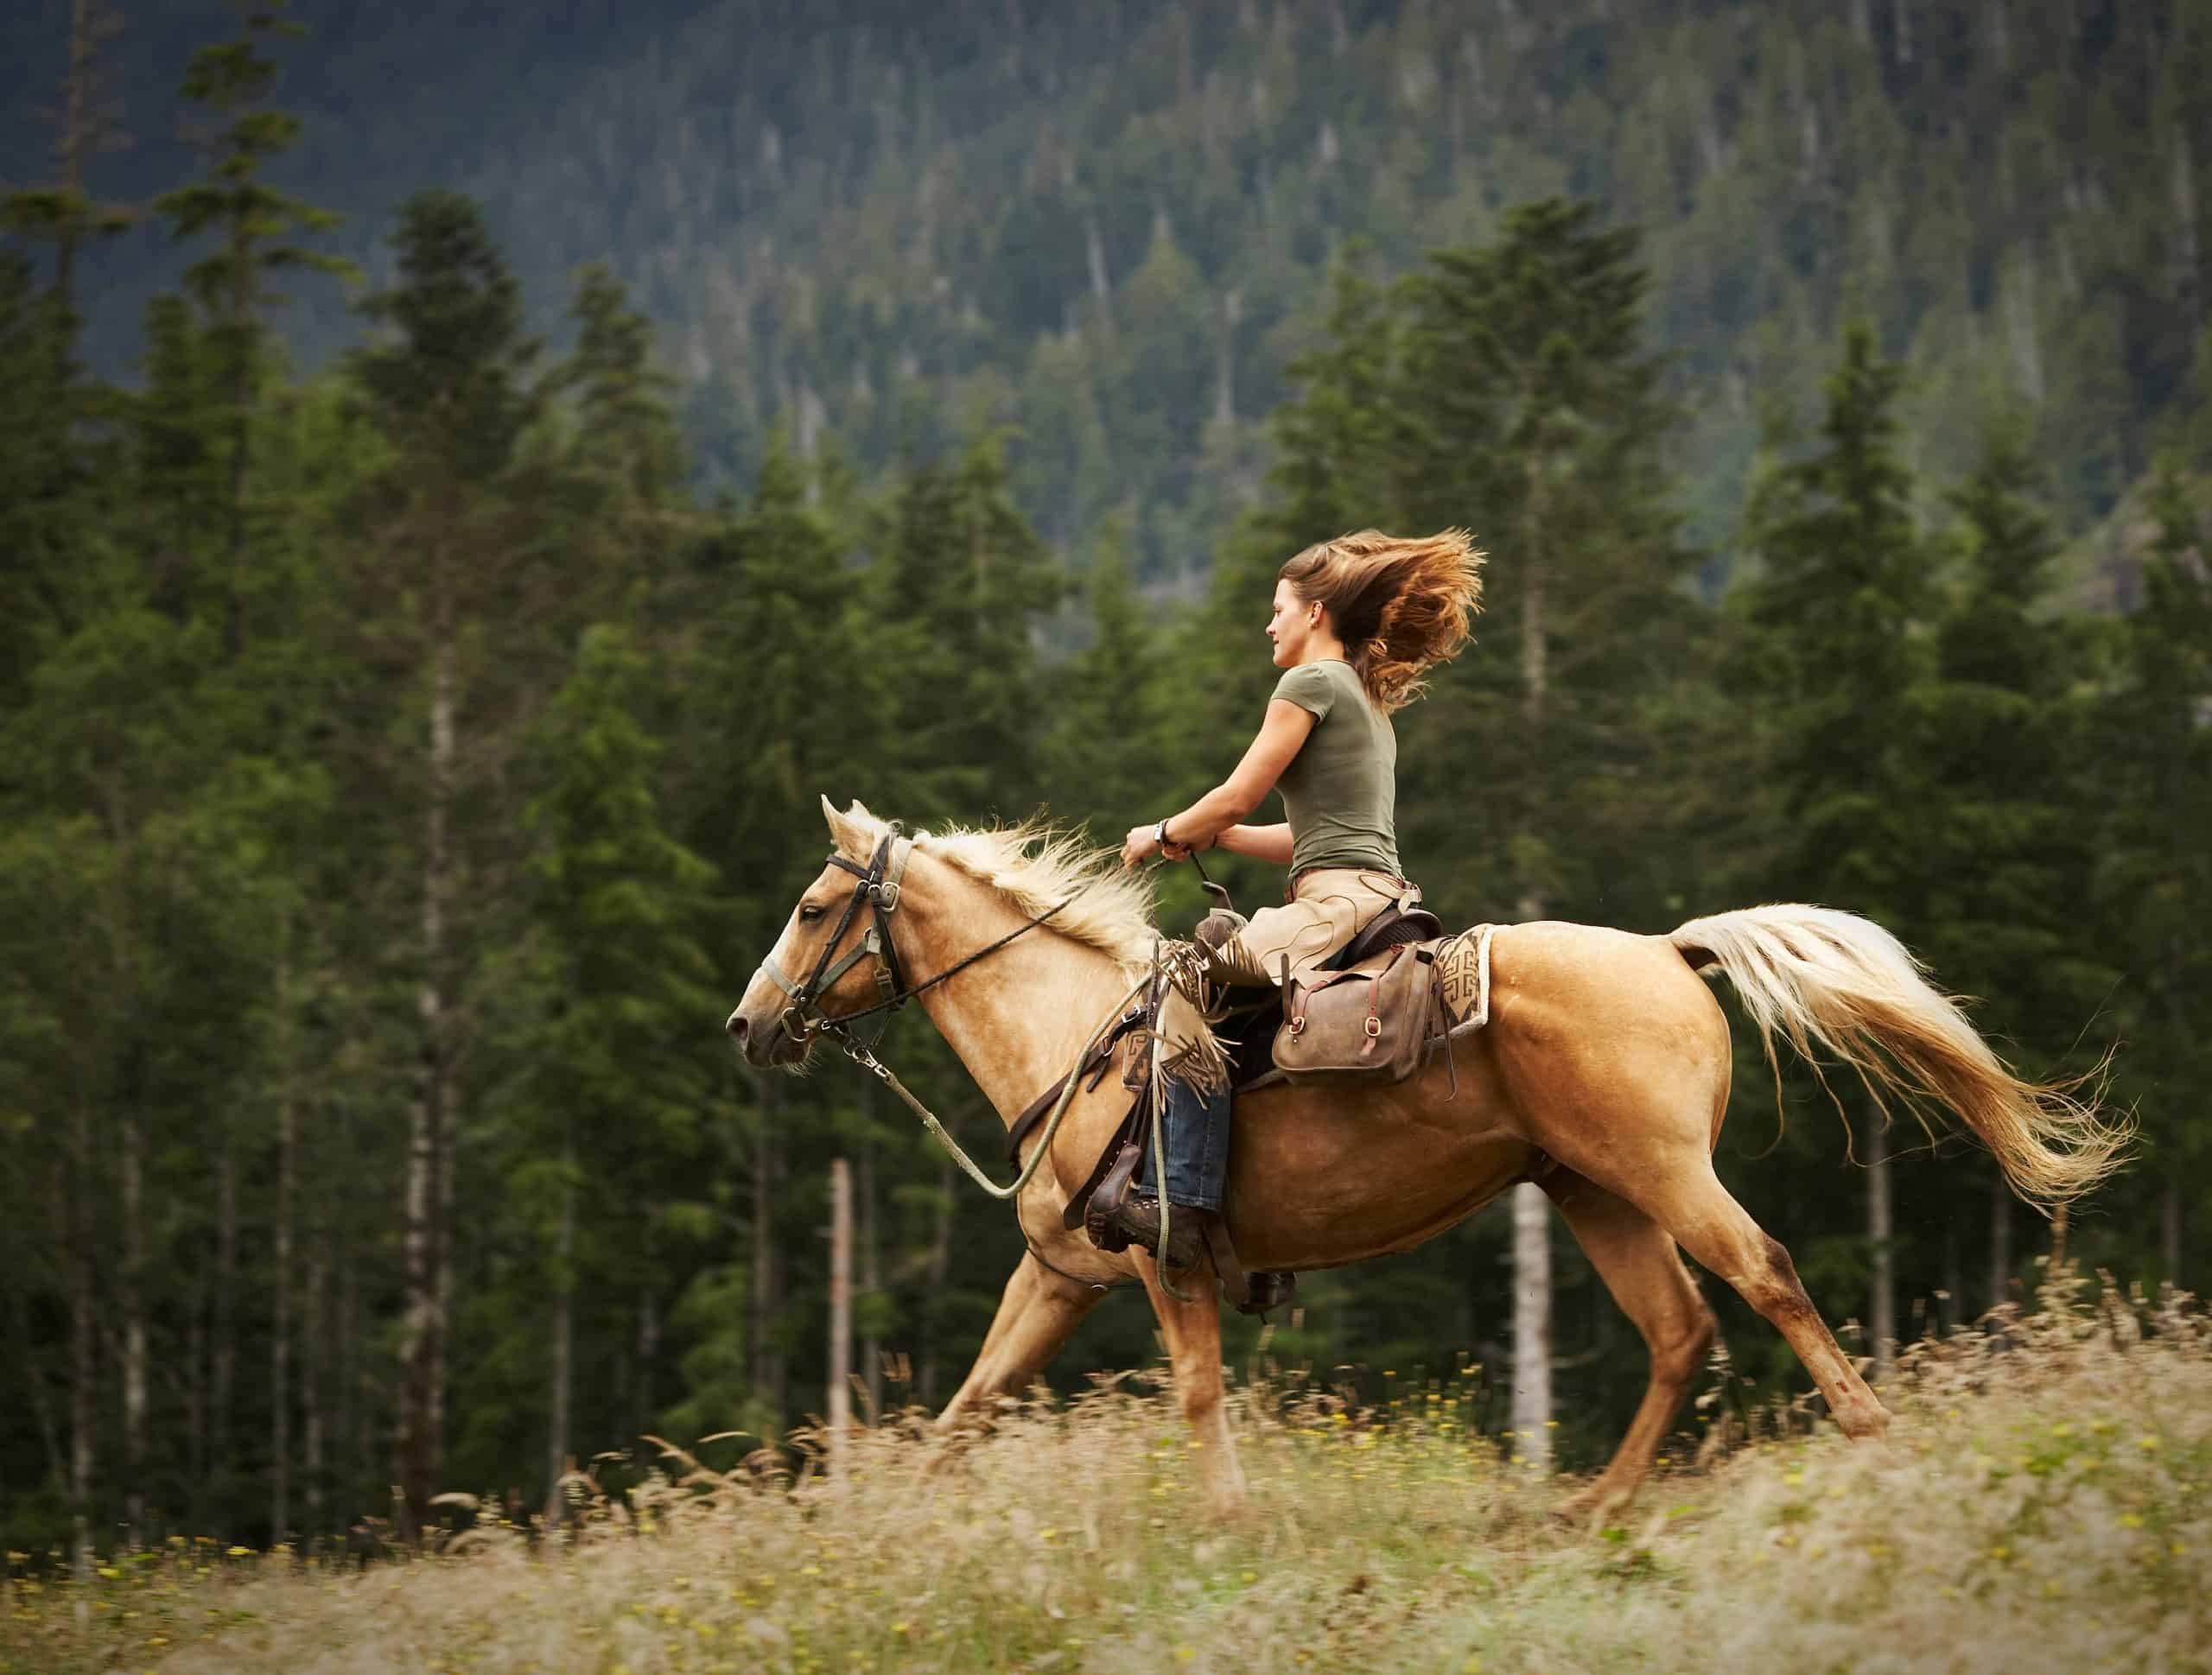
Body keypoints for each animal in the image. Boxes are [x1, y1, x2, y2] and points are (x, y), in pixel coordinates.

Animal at [725, 796, 2123, 1513]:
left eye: (810, 904)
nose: (747, 1025)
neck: (1081, 1039)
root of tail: (1667, 947)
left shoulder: (1169, 1265)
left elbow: (1197, 1395)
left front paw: (1229, 1527)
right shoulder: (1060, 1275)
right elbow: (968, 1404)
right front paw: (888, 1529)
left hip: (1668, 1174)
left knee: (1765, 1275)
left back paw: (1870, 1437)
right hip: (1594, 1191)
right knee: (1678, 1331)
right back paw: (1586, 1507)